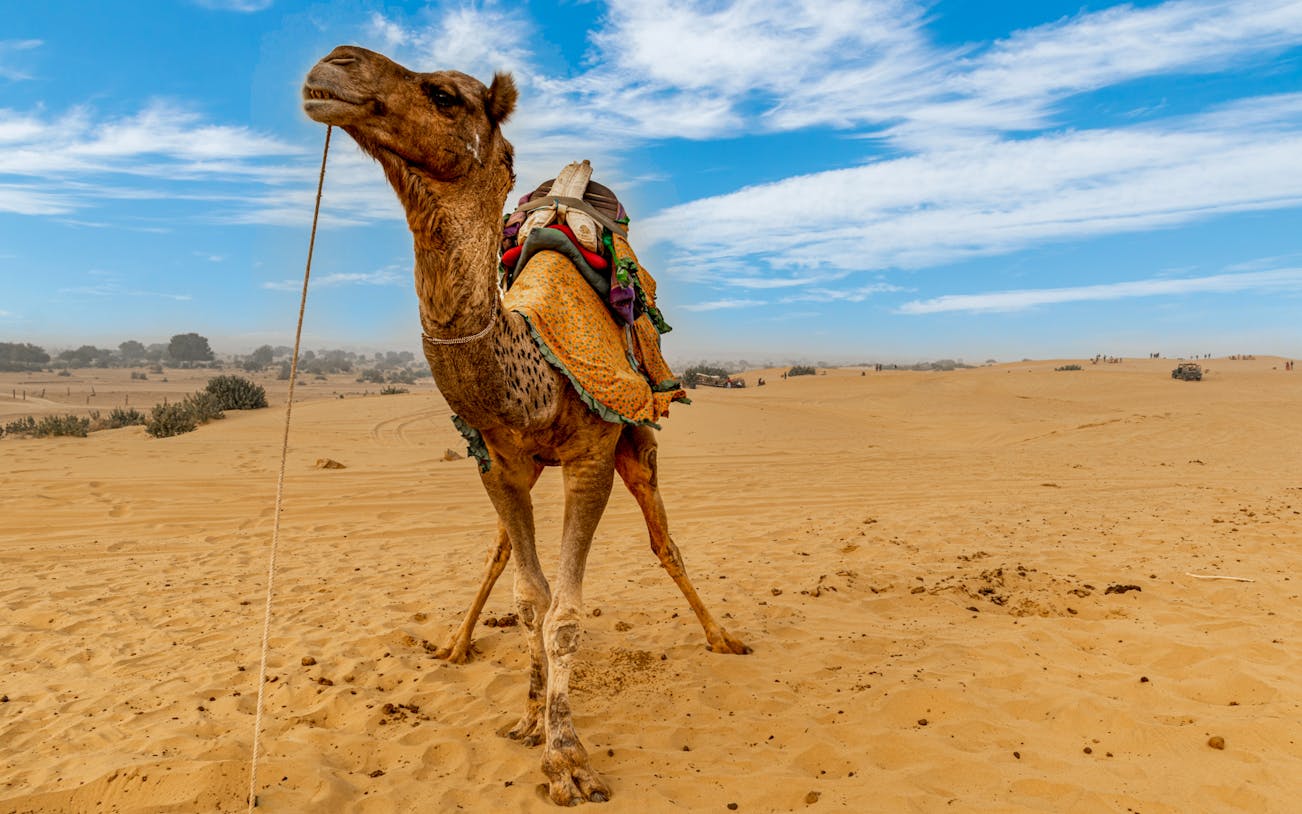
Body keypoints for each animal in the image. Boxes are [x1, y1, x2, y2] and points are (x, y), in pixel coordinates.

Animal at [302, 46, 749, 805]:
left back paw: (722, 638)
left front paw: (567, 759)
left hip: (638, 441)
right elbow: (530, 597)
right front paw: (531, 719)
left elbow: (565, 613)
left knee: (666, 542)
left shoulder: (592, 458)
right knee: (502, 553)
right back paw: (456, 645)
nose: (333, 65)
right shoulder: (499, 466)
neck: (531, 366)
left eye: (446, 96)